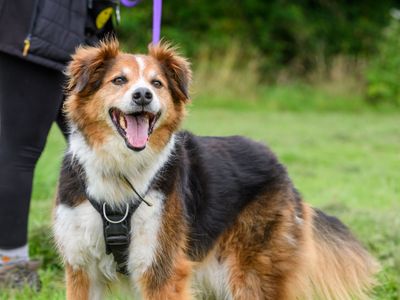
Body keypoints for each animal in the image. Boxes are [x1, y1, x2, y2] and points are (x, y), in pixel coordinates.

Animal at [53, 39, 378, 300]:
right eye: (119, 80)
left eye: (157, 84)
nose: (143, 95)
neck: (121, 170)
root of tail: (278, 164)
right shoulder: (82, 268)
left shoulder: (161, 268)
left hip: (251, 273)